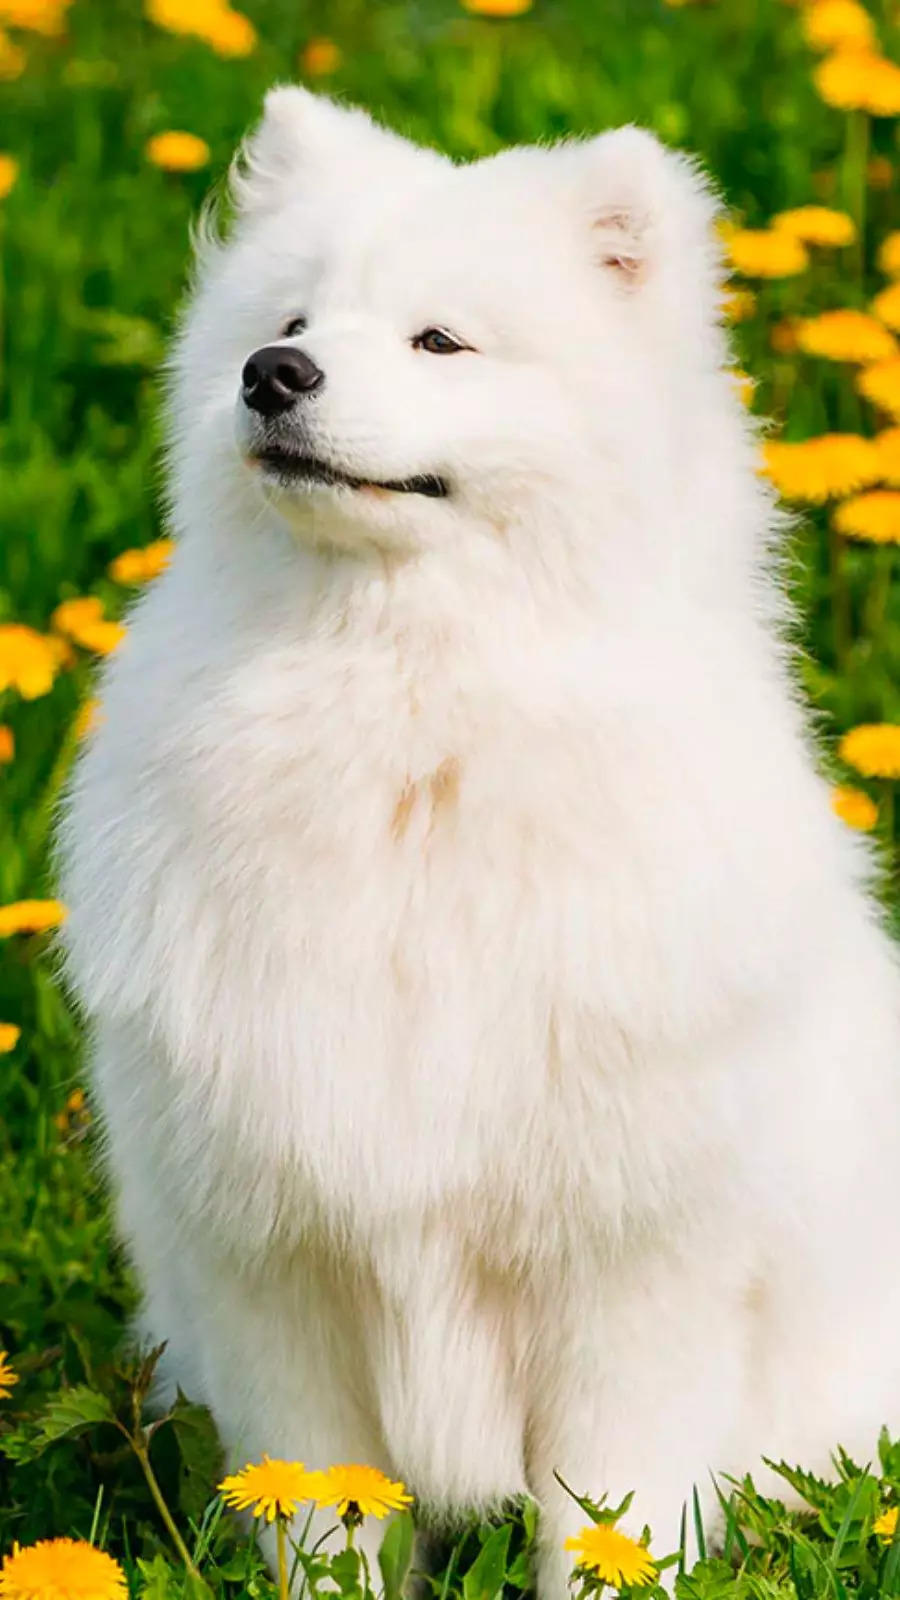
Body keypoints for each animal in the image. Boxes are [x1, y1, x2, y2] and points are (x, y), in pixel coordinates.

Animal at [59, 93, 896, 1593]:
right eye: (292, 317)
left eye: (440, 340)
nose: (272, 374)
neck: (409, 730)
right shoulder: (272, 1265)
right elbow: (318, 1511)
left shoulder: (631, 1274)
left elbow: (608, 1521)